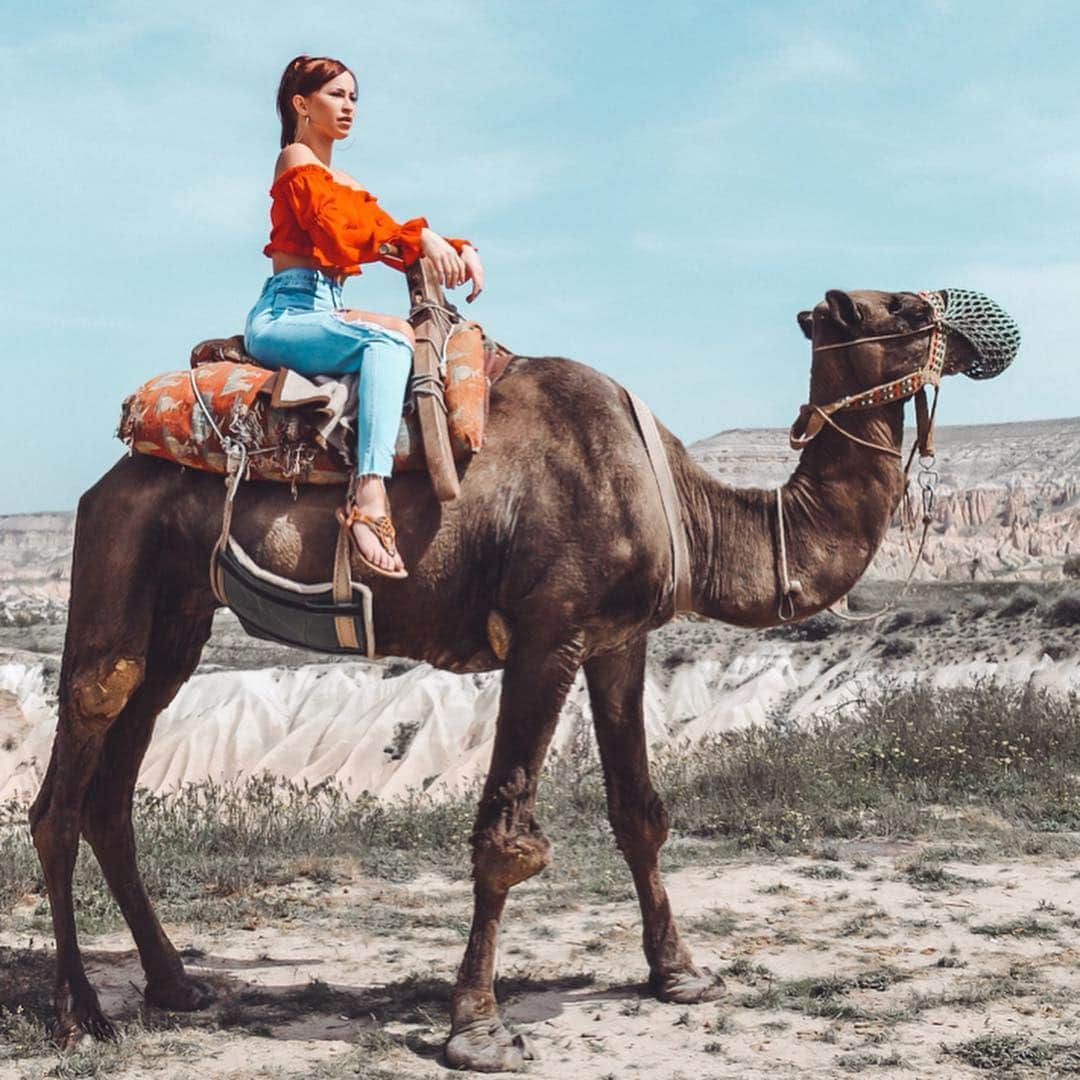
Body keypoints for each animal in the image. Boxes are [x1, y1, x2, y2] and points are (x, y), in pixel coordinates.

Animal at [29, 287, 984, 1071]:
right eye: (904, 307)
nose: (977, 330)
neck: (687, 505)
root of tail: (120, 457)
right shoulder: (547, 635)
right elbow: (505, 838)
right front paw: (478, 1029)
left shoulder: (618, 640)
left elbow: (640, 813)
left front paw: (679, 974)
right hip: (119, 555)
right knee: (72, 766)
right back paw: (80, 1013)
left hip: (181, 612)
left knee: (120, 774)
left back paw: (174, 985)